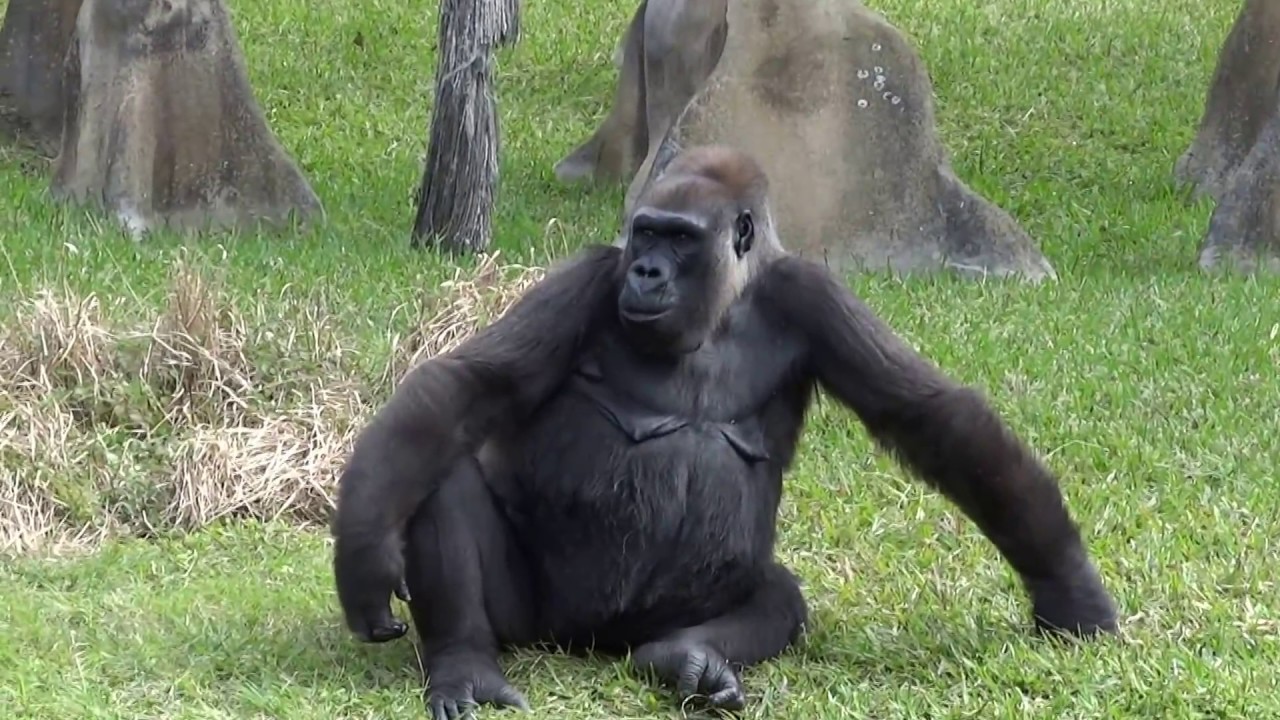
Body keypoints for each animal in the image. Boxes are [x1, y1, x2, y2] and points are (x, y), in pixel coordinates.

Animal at [331, 145, 1119, 719]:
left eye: (680, 239)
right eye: (644, 231)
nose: (647, 271)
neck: (720, 307)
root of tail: (594, 642)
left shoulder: (812, 293)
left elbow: (932, 416)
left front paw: (1067, 586)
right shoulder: (591, 275)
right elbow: (465, 387)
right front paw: (363, 551)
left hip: (672, 609)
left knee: (776, 598)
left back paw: (684, 658)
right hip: (535, 619)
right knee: (442, 471)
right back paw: (466, 663)